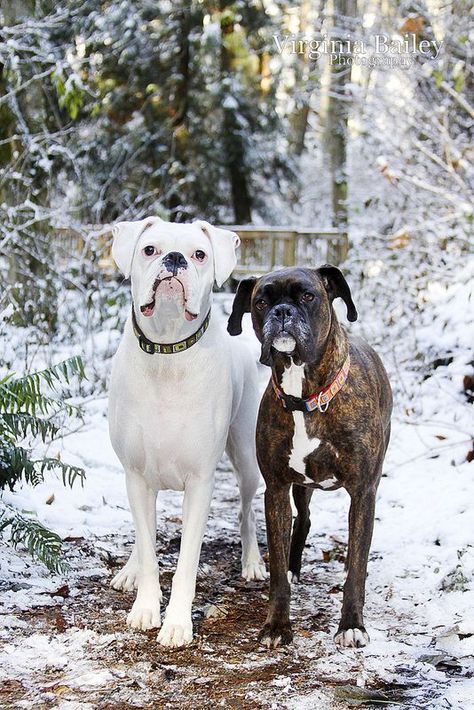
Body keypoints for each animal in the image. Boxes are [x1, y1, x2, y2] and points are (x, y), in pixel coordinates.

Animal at [107, 218, 264, 652]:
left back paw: (253, 562)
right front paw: (145, 608)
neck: (167, 351)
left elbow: (186, 564)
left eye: (199, 254)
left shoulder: (200, 483)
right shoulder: (136, 476)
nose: (175, 259)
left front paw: (176, 624)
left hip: (247, 458)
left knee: (247, 510)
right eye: (149, 250)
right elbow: (147, 546)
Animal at [226, 268, 392, 652]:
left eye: (307, 296)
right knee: (303, 519)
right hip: (301, 487)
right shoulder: (276, 489)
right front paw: (277, 625)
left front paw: (352, 625)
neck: (305, 395)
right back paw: (293, 565)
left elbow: (357, 565)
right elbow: (276, 569)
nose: (282, 312)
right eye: (261, 302)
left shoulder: (364, 493)